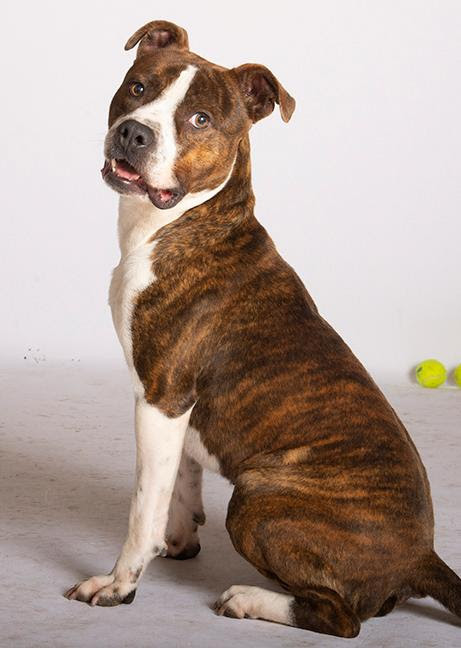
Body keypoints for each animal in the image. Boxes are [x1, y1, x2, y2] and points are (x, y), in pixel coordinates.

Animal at [64, 19, 460, 636]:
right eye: (138, 88)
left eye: (200, 119)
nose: (133, 133)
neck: (180, 222)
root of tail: (422, 556)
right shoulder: (177, 410)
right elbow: (181, 479)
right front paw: (178, 541)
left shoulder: (161, 398)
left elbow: (142, 506)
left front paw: (119, 584)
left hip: (257, 498)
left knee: (341, 618)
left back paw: (250, 599)